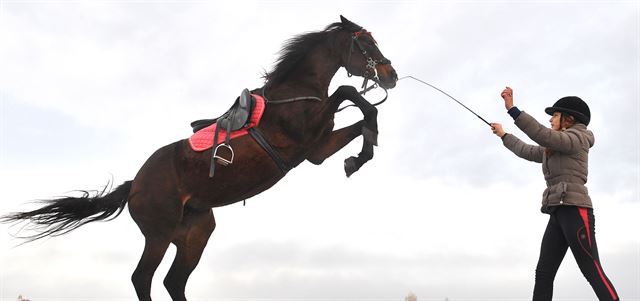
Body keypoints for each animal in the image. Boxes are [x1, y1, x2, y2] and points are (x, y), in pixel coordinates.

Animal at [0, 15, 398, 298]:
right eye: (366, 43)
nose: (390, 73)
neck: (295, 91)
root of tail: (135, 184)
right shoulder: (304, 137)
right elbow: (349, 92)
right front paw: (365, 145)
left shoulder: (317, 149)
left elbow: (361, 115)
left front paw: (360, 154)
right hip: (158, 233)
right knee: (142, 278)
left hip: (194, 233)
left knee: (174, 282)